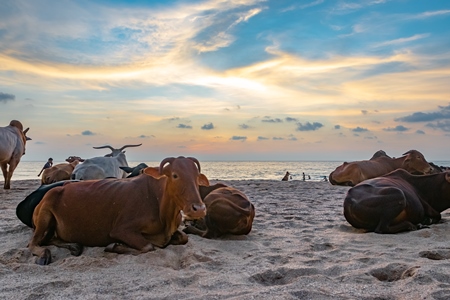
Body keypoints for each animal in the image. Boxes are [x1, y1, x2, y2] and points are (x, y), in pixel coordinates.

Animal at [26, 157, 206, 264]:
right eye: (175, 175)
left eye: (197, 176)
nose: (198, 209)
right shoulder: (121, 230)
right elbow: (148, 247)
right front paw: (115, 246)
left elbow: (184, 238)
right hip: (45, 214)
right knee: (34, 243)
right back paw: (45, 254)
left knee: (50, 239)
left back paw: (74, 246)